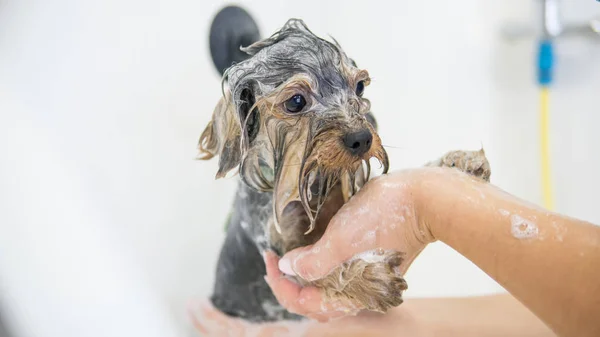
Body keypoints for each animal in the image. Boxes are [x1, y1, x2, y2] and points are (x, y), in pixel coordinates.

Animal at [199, 19, 490, 322]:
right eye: (295, 102)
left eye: (359, 86)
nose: (362, 138)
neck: (311, 182)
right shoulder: (279, 252)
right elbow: (313, 270)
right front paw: (369, 279)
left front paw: (456, 162)